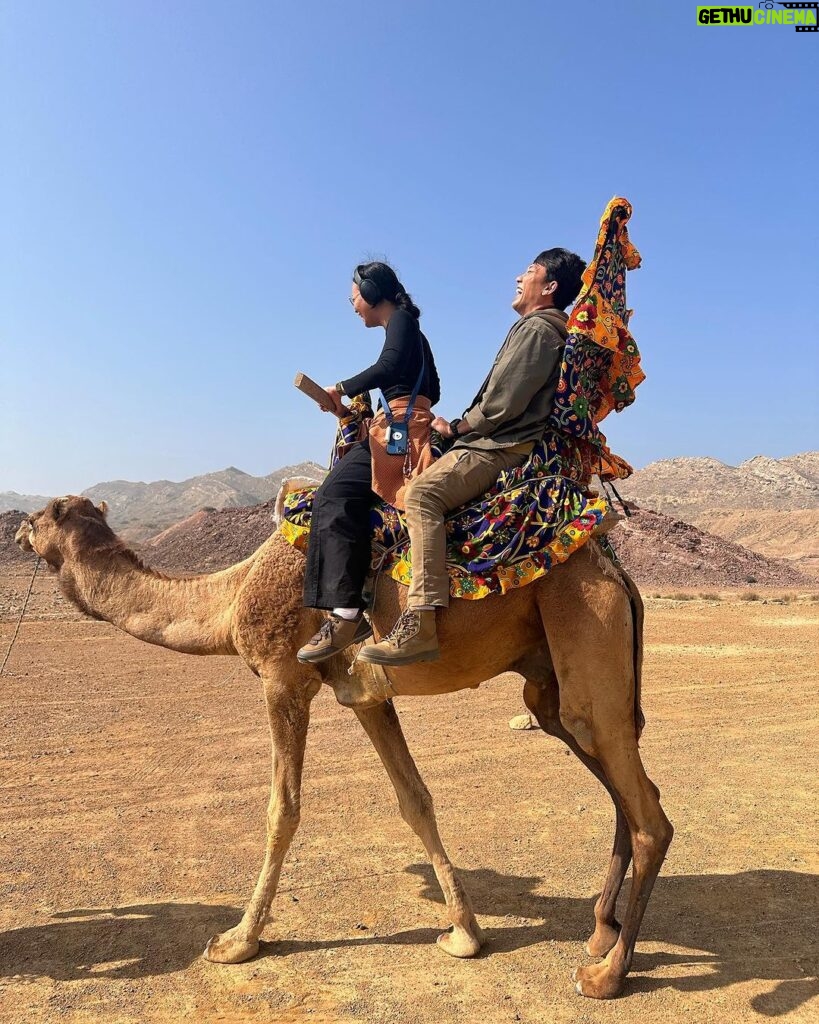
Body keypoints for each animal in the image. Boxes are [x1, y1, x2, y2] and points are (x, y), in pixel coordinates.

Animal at [12, 495, 671, 999]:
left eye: (46, 513)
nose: (16, 524)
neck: (231, 595)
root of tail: (620, 577)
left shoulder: (283, 676)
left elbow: (282, 809)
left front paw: (237, 941)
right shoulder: (365, 696)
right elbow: (415, 800)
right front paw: (464, 934)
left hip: (586, 635)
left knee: (649, 817)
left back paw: (606, 974)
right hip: (549, 689)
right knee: (626, 789)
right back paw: (600, 933)